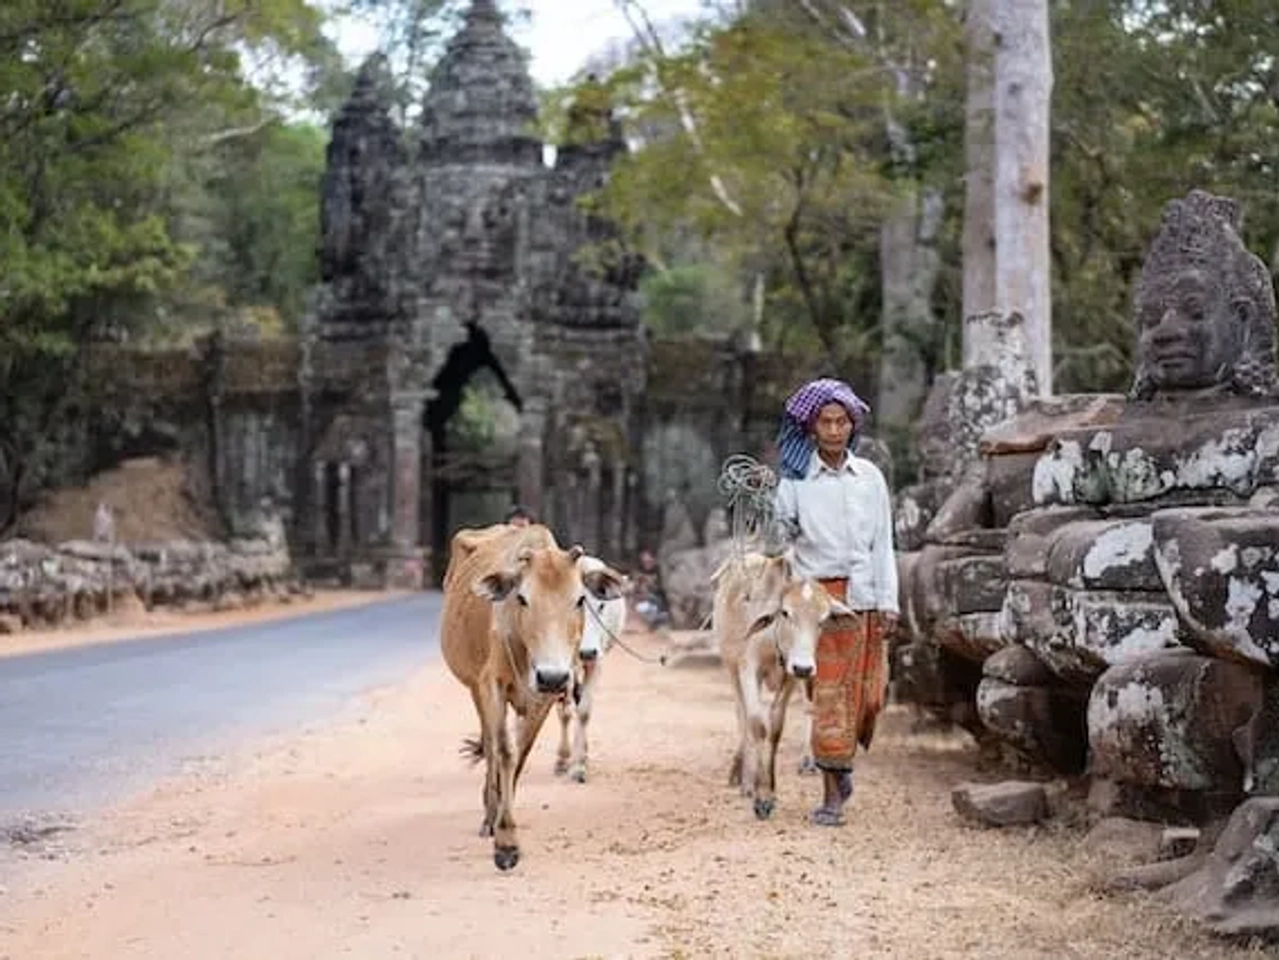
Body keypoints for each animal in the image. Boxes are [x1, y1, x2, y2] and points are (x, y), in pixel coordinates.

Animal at [554, 554, 629, 784]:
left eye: (602, 606)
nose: (586, 652)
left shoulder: (597, 662)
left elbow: (585, 711)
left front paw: (579, 765)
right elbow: (565, 712)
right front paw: (563, 759)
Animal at [712, 551, 852, 820]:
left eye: (823, 619)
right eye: (786, 613)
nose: (804, 667)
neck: (773, 638)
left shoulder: (790, 677)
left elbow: (776, 727)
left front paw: (771, 789)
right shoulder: (748, 667)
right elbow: (757, 725)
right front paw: (760, 796)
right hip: (731, 667)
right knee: (741, 715)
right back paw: (744, 776)